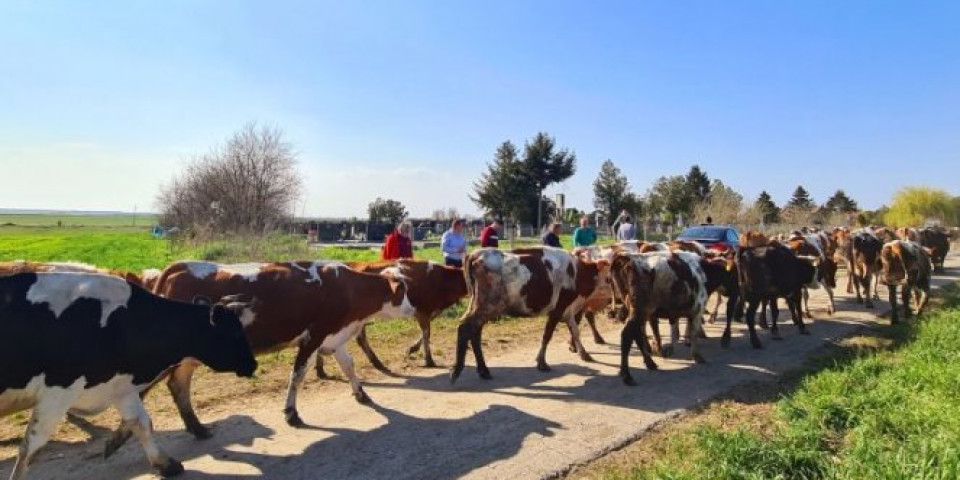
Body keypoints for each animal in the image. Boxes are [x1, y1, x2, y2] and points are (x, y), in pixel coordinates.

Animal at [0, 274, 258, 480]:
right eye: (235, 332)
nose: (253, 363)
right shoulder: (59, 392)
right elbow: (31, 447)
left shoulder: (119, 386)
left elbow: (142, 424)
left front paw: (165, 464)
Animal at [448, 248, 608, 382]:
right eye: (608, 276)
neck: (578, 273)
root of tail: (477, 253)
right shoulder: (557, 310)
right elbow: (547, 335)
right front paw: (542, 362)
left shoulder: (568, 311)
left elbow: (575, 332)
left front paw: (584, 353)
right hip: (488, 305)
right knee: (465, 327)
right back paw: (458, 370)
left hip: (479, 305)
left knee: (474, 332)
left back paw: (483, 370)